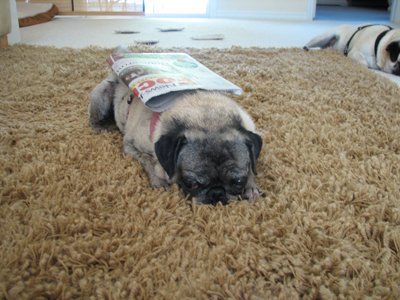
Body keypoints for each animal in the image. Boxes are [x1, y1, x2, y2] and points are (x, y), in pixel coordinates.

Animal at [88, 45, 262, 204]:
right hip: (101, 97)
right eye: (191, 184)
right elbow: (148, 160)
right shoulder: (130, 145)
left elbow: (252, 168)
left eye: (239, 182)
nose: (217, 193)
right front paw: (159, 180)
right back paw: (99, 127)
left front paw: (251, 186)